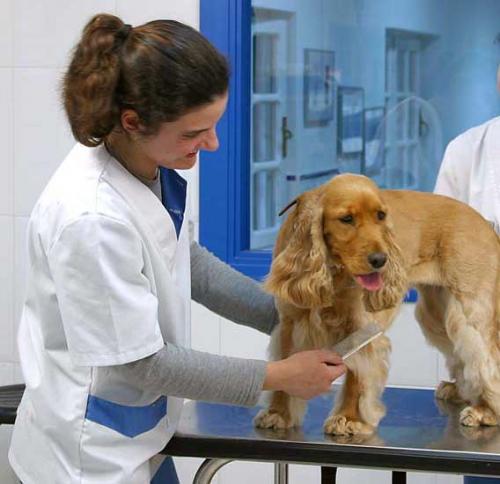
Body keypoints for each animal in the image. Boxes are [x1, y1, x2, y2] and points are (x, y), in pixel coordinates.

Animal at [256, 173, 498, 434]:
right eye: (347, 219)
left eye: (381, 216)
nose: (381, 260)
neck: (334, 271)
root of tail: (485, 223)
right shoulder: (290, 323)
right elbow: (286, 367)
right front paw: (278, 413)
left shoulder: (361, 327)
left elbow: (358, 375)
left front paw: (349, 418)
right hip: (437, 313)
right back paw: (460, 392)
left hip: (470, 310)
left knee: (485, 357)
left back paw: (485, 410)